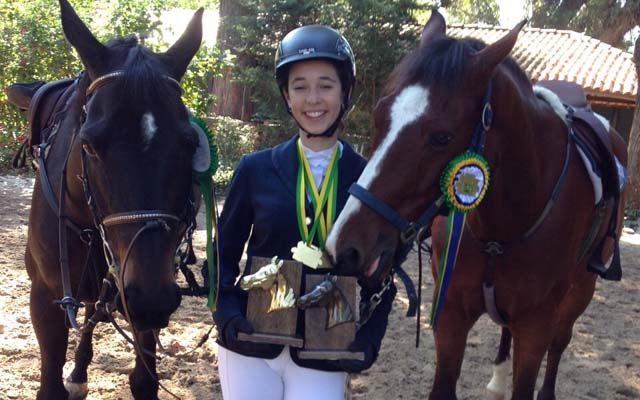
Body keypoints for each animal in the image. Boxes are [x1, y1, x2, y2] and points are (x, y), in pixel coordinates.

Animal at [328, 8, 628, 400]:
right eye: (380, 116)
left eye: (442, 137)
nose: (345, 247)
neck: (502, 229)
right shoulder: (451, 315)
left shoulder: (536, 326)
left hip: (580, 291)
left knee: (560, 343)